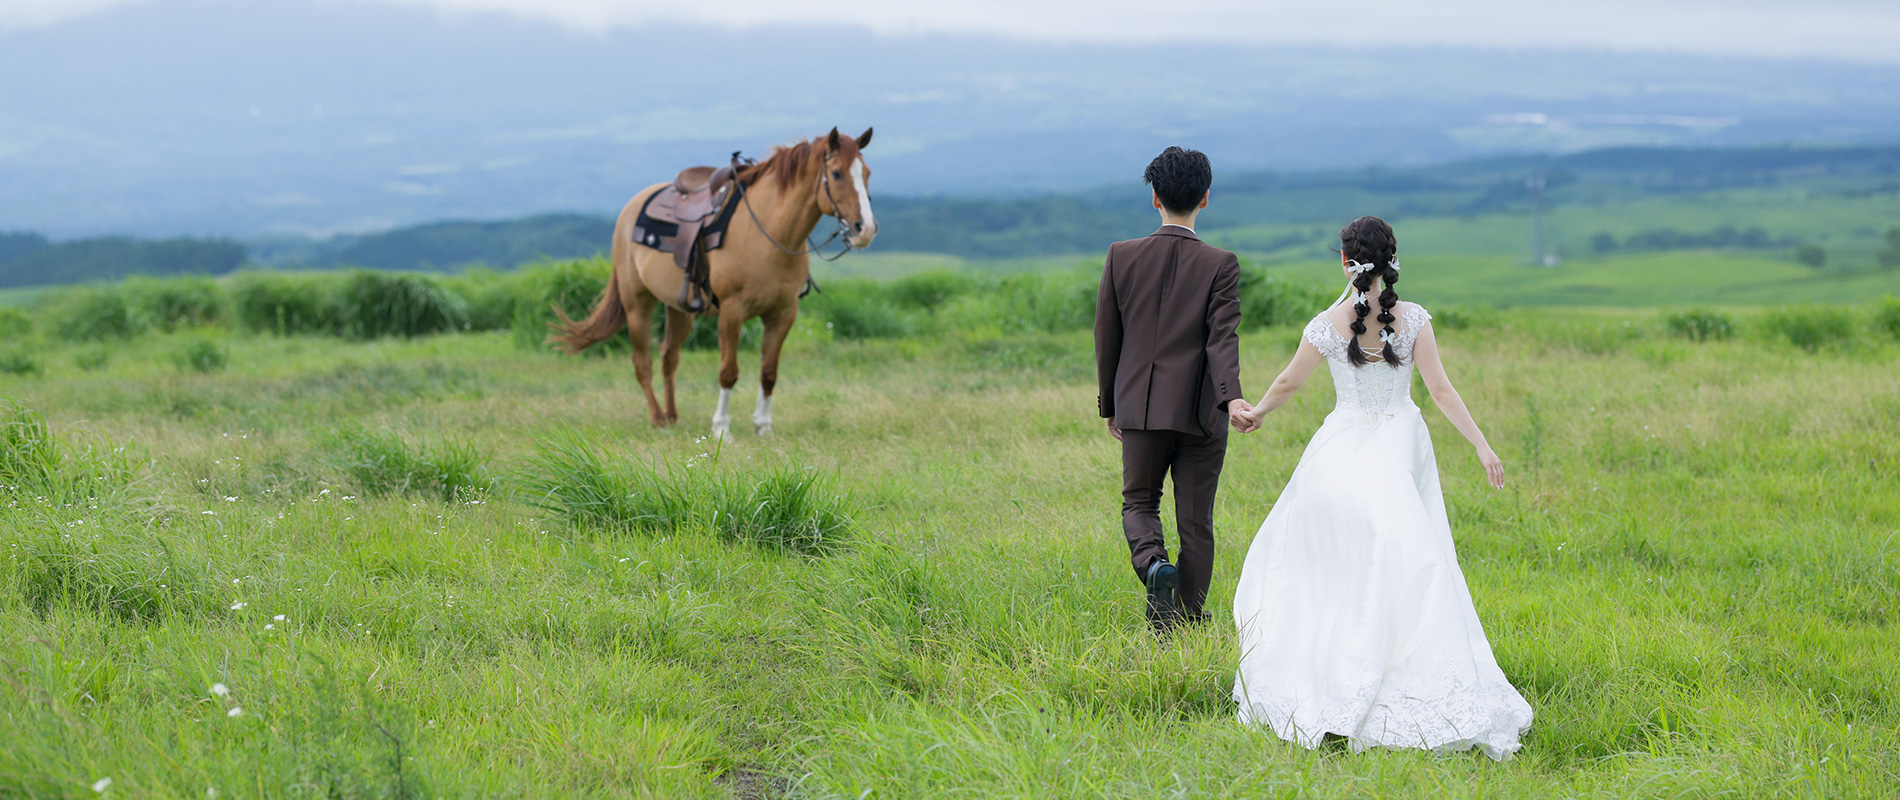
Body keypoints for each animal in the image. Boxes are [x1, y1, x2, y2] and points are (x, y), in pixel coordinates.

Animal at [548, 127, 877, 439]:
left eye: (867, 173)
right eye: (836, 173)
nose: (866, 229)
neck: (768, 231)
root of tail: (632, 206)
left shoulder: (783, 313)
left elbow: (769, 372)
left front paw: (763, 427)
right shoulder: (732, 311)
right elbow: (728, 371)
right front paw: (721, 429)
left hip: (679, 309)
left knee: (669, 358)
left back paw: (673, 416)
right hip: (636, 303)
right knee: (643, 362)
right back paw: (658, 419)